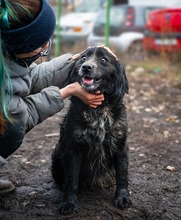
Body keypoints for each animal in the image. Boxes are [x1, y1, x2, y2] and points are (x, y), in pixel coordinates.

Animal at [51, 46, 132, 213]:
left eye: (103, 60)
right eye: (83, 58)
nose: (86, 67)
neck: (99, 109)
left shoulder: (120, 145)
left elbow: (122, 175)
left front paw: (122, 197)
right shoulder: (73, 149)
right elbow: (72, 180)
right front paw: (68, 202)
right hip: (57, 154)